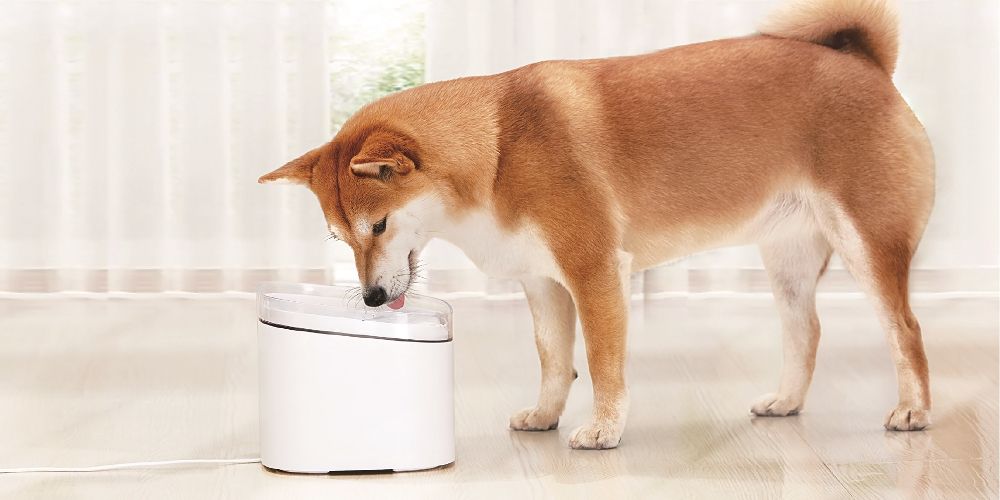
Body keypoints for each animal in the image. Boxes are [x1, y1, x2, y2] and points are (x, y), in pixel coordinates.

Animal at [262, 0, 932, 450]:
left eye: (377, 227)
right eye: (342, 238)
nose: (372, 299)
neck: (499, 150)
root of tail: (867, 64)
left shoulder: (595, 272)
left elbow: (605, 365)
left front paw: (604, 429)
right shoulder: (542, 283)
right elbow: (555, 361)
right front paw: (544, 416)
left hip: (867, 243)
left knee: (906, 330)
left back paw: (914, 412)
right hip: (788, 261)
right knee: (807, 331)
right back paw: (787, 402)